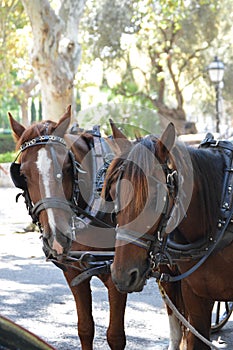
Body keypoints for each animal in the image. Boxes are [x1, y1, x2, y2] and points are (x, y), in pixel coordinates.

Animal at [8, 106, 127, 350]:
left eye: (67, 167)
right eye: (22, 175)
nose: (57, 238)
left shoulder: (119, 276)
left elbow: (115, 336)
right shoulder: (73, 271)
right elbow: (85, 329)